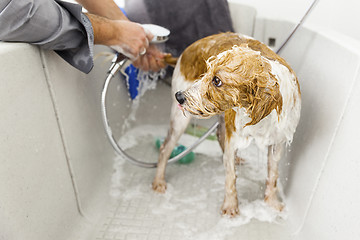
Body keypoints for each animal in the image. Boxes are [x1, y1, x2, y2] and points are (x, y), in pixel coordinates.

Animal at [153, 32, 300, 216]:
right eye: (206, 72)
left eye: (216, 80)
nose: (179, 96)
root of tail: (185, 51)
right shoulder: (234, 136)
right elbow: (231, 177)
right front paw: (231, 207)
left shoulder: (277, 143)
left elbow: (273, 175)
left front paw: (271, 202)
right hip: (180, 119)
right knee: (165, 148)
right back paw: (159, 181)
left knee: (219, 136)